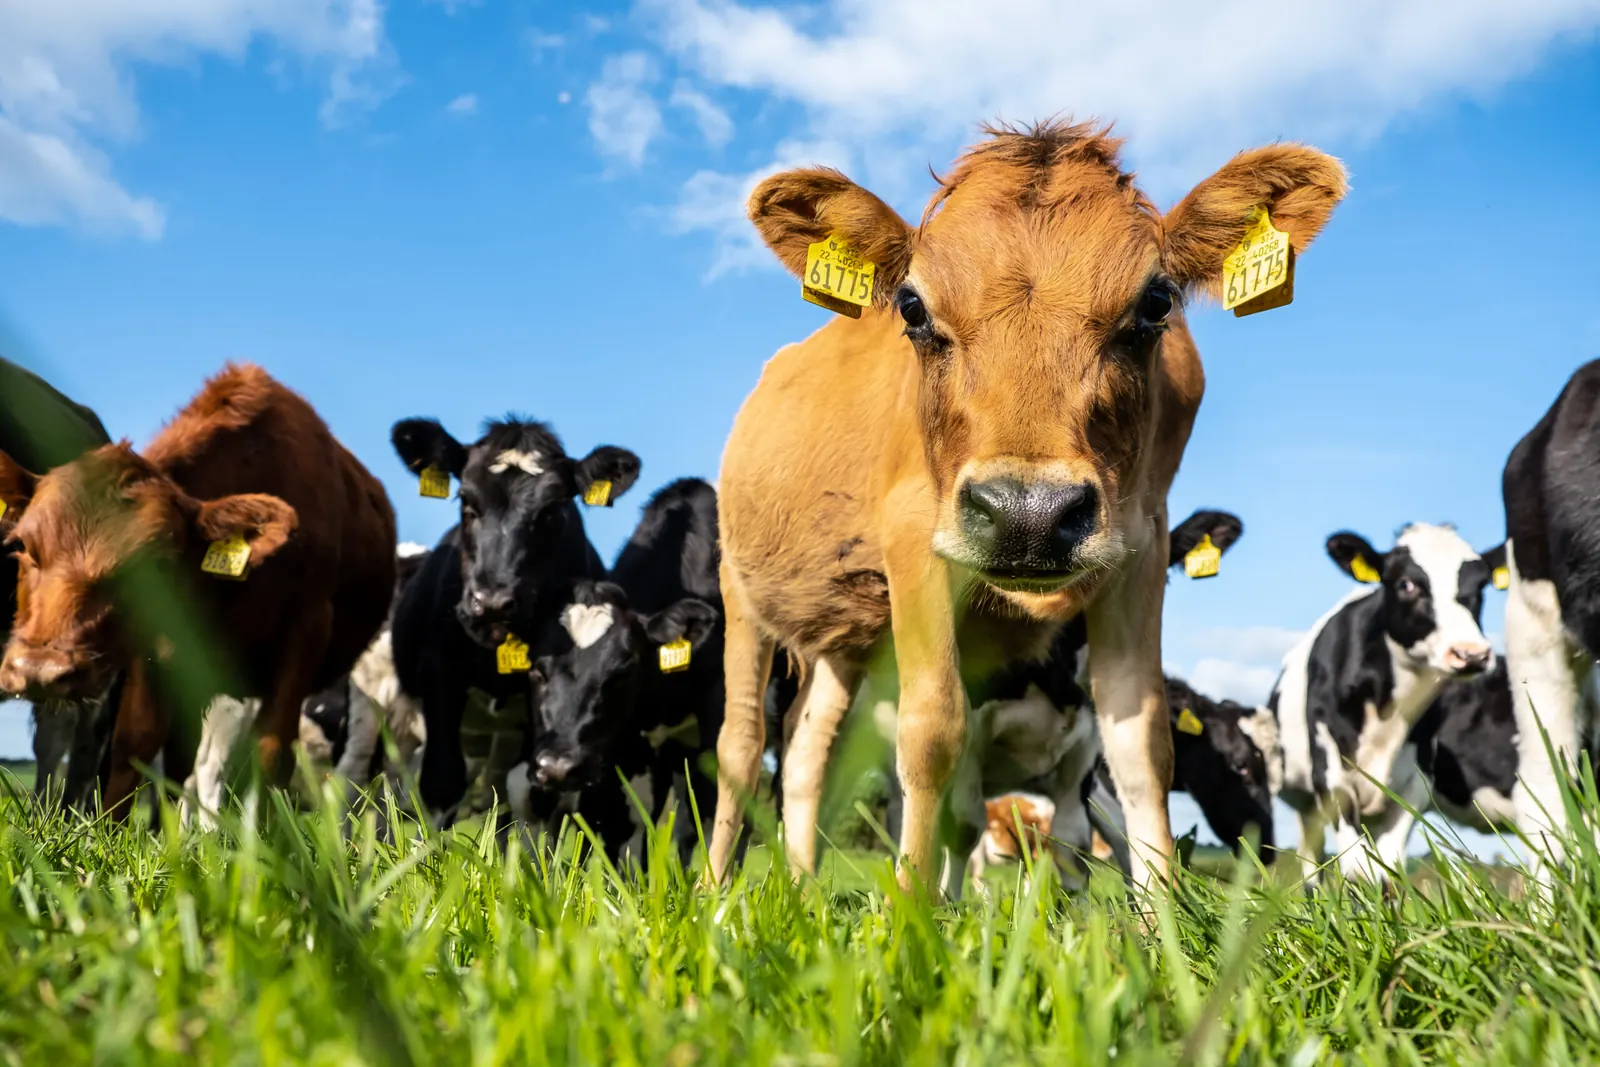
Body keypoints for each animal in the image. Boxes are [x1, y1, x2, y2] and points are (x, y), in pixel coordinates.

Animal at [388, 416, 640, 821]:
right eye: (466, 501)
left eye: (552, 510)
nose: (492, 602)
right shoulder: (439, 672)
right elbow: (441, 782)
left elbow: (530, 791)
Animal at [704, 119, 1346, 892]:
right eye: (912, 307)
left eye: (1156, 303)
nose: (1028, 513)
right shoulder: (914, 536)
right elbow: (932, 731)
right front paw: (912, 908)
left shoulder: (1143, 542)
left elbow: (1140, 742)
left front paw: (1162, 914)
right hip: (742, 590)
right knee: (742, 745)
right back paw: (715, 894)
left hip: (843, 638)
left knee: (805, 753)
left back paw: (798, 890)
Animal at [1269, 523, 1501, 882]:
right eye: (1406, 584)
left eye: (1481, 586)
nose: (1471, 654)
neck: (1387, 716)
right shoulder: (1331, 776)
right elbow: (1356, 868)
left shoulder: (1416, 784)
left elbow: (1389, 867)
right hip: (1306, 805)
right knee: (1311, 862)